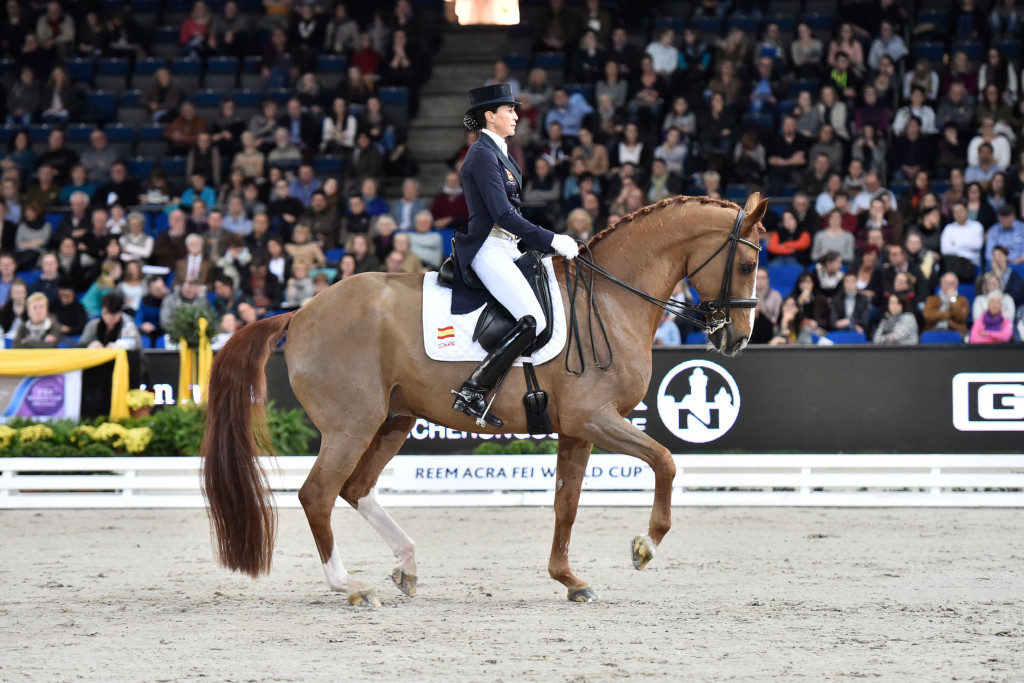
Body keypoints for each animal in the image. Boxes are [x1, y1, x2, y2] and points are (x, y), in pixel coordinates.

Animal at [201, 191, 770, 602]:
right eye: (746, 266)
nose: (737, 339)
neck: (610, 298)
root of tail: (299, 313)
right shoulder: (595, 418)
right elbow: (666, 461)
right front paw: (644, 546)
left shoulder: (577, 429)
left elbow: (566, 504)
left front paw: (570, 580)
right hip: (351, 424)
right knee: (318, 494)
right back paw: (352, 587)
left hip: (392, 420)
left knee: (356, 488)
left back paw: (407, 567)